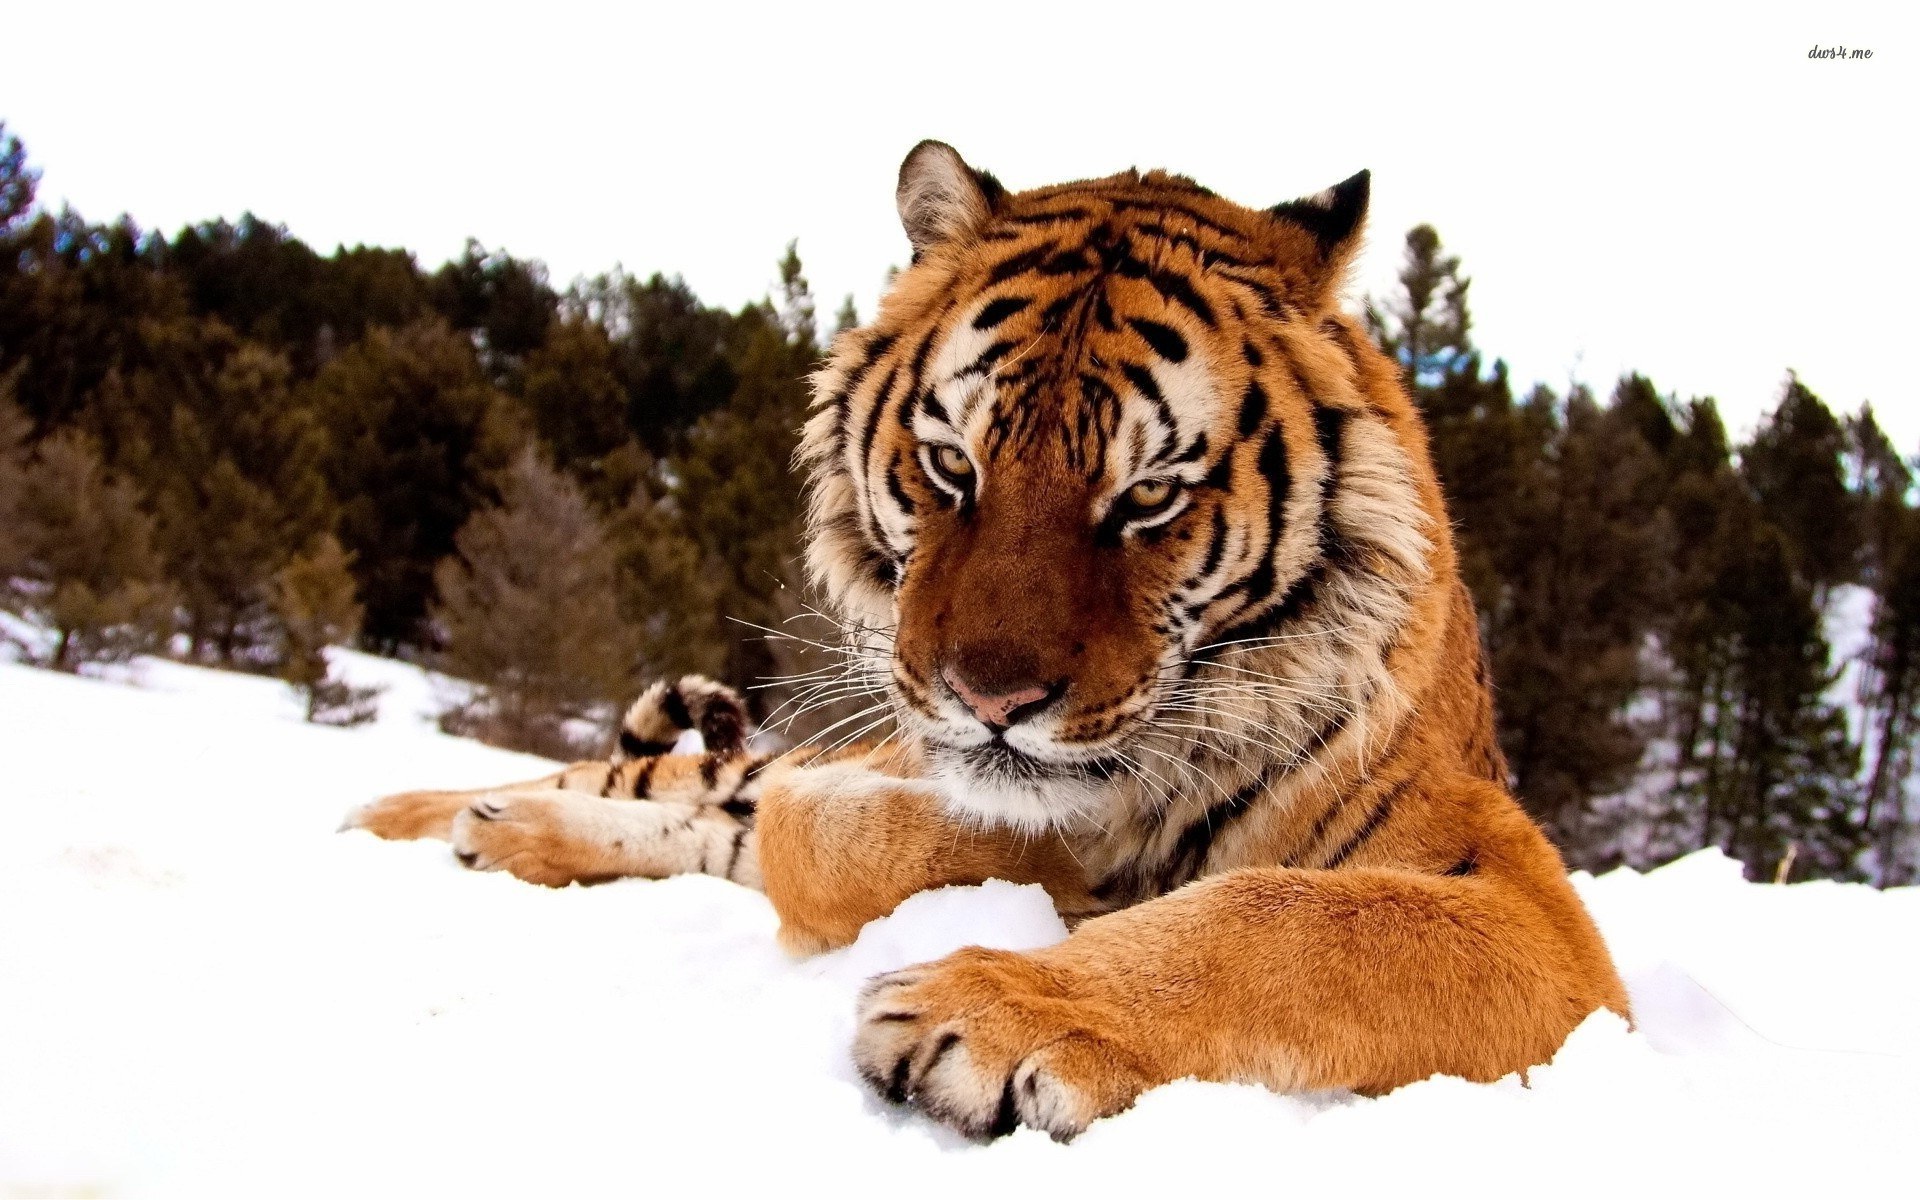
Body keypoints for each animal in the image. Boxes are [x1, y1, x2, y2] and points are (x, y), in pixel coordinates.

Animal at [344, 140, 1629, 1141]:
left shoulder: (1536, 914)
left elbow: (1287, 921)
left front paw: (993, 1008)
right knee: (638, 781)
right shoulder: (876, 770)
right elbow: (842, 830)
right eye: (952, 465)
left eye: (1148, 497)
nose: (992, 699)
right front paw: (1054, 872)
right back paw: (419, 816)